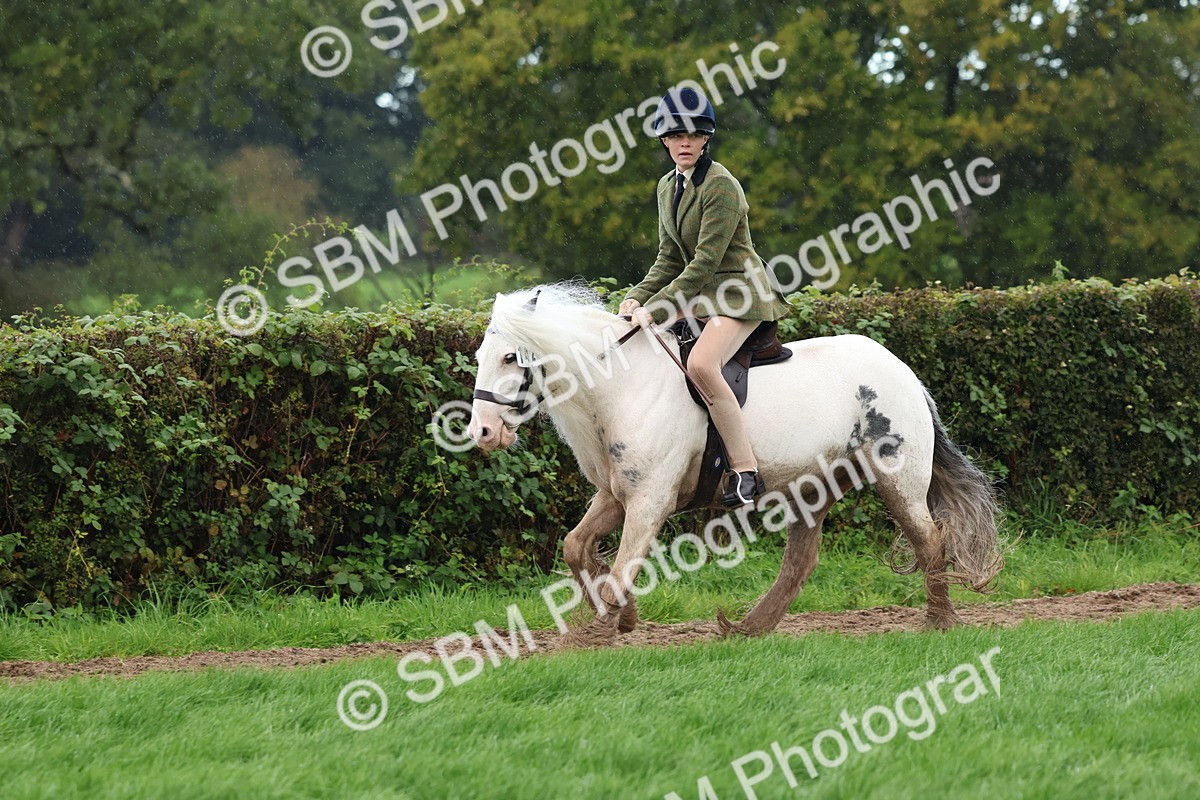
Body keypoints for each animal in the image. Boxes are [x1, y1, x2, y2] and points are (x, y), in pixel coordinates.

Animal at [466, 283, 1003, 642]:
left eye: (511, 358)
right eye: (479, 356)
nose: (482, 433)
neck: (621, 387)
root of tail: (903, 371)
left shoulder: (650, 500)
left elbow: (620, 568)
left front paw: (601, 629)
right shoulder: (617, 495)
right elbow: (577, 548)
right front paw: (622, 614)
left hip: (898, 479)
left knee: (930, 540)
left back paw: (940, 622)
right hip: (812, 487)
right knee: (800, 561)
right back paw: (748, 627)